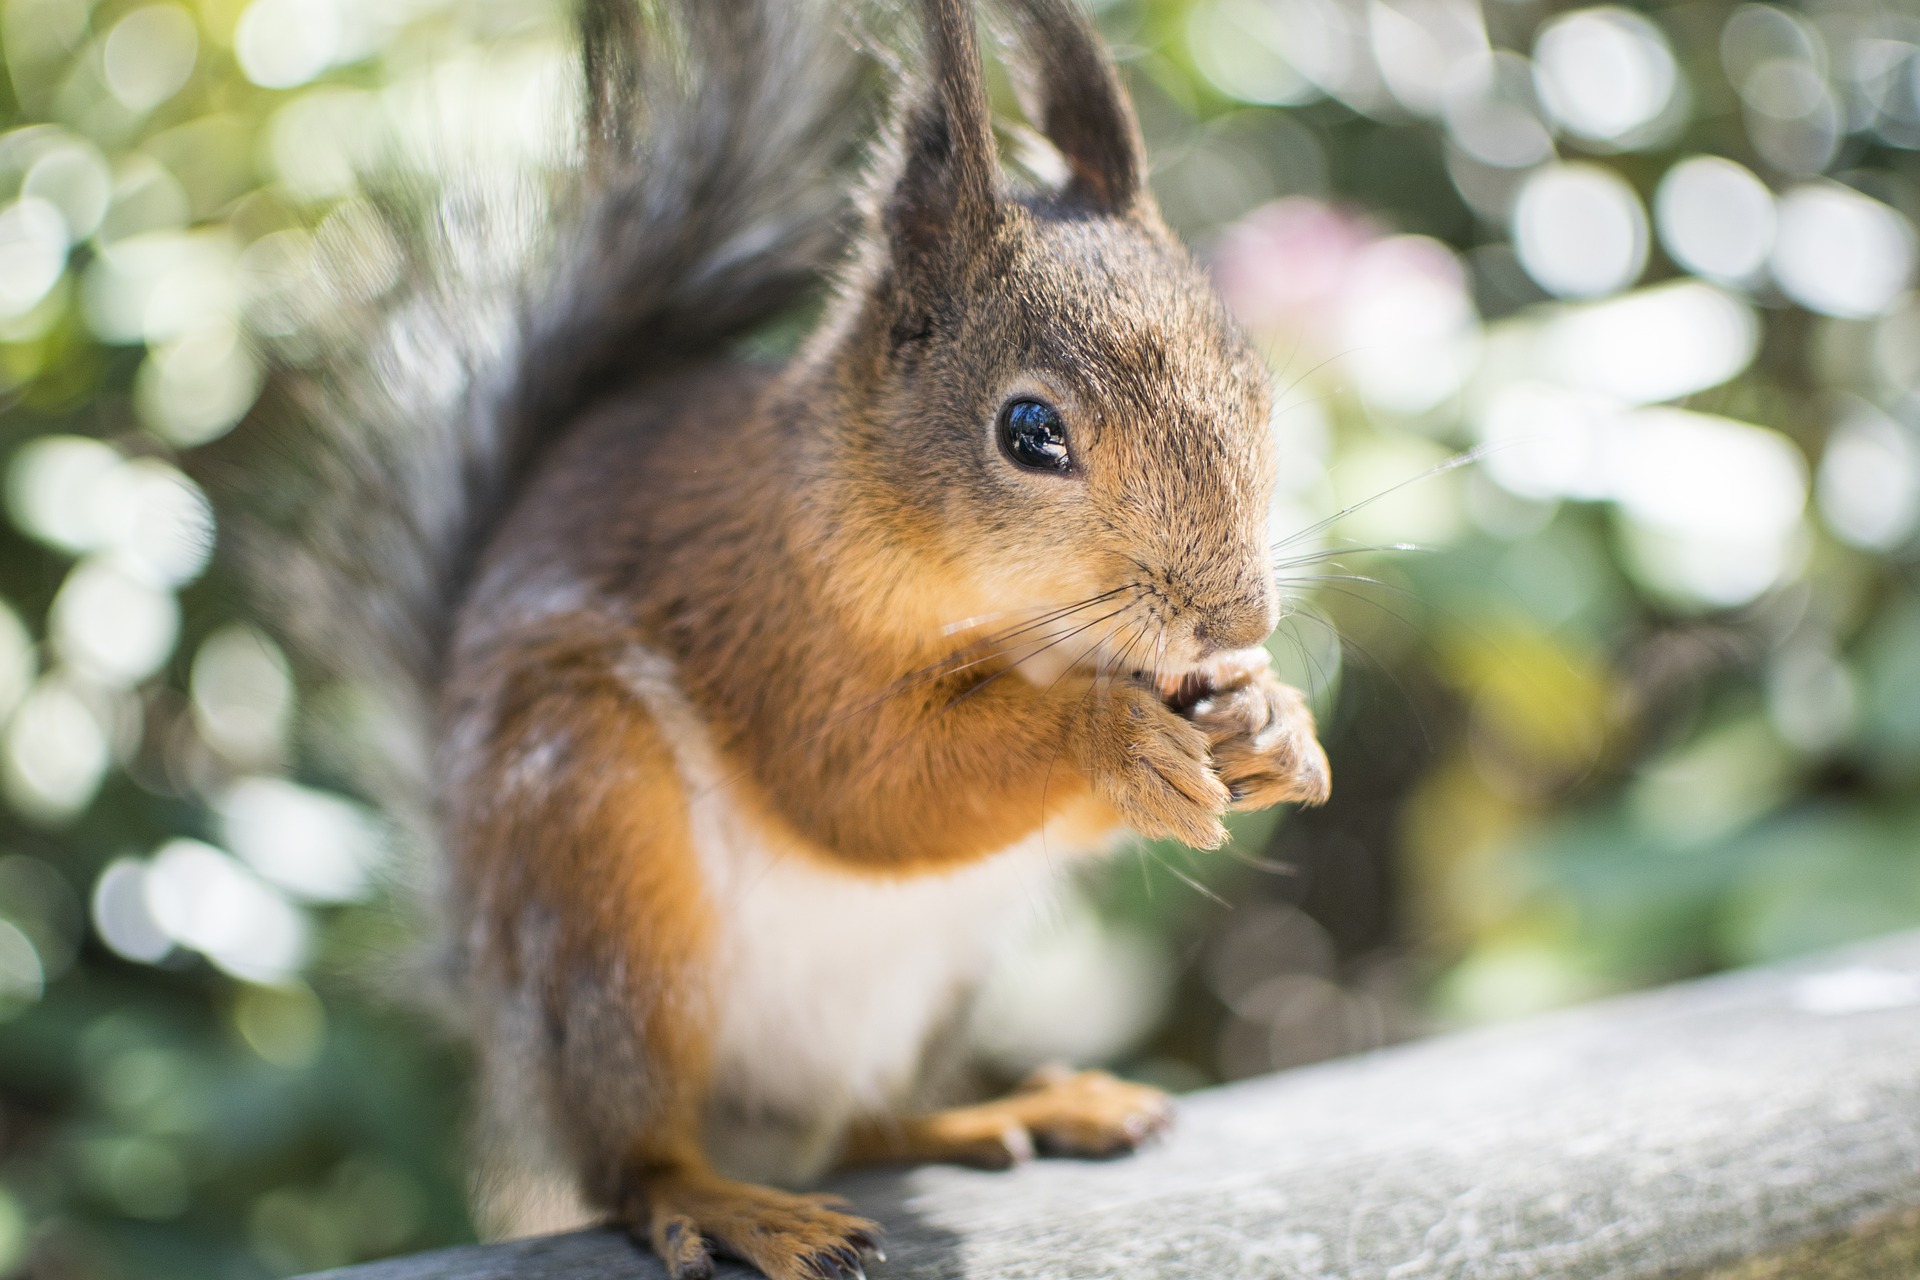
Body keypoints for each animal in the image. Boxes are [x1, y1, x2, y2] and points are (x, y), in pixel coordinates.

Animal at [210, 2, 1320, 1280]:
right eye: (1030, 430)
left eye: (1254, 384)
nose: (1239, 620)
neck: (1027, 628)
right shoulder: (767, 624)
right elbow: (866, 785)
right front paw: (1110, 732)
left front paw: (1276, 722)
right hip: (596, 873)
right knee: (632, 1161)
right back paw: (734, 1202)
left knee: (861, 1126)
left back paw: (1004, 1109)